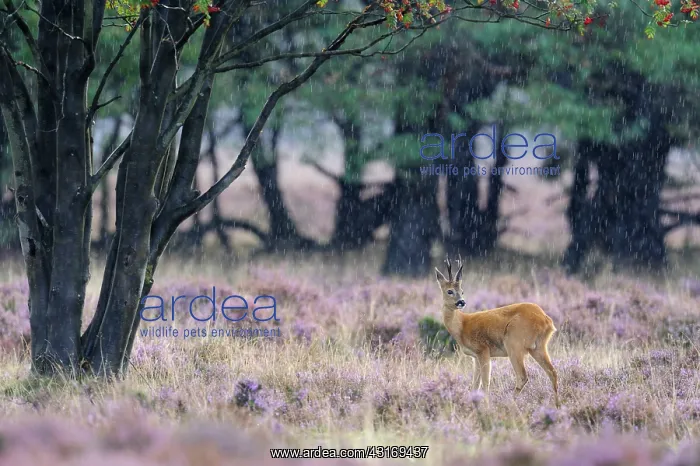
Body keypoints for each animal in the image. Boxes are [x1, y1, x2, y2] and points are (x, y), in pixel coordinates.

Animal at [435, 255, 560, 407]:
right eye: (450, 291)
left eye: (462, 291)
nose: (461, 302)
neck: (463, 325)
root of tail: (546, 320)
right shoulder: (475, 357)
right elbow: (474, 385)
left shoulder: (483, 350)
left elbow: (485, 383)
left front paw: (486, 406)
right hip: (538, 347)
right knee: (552, 372)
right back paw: (558, 405)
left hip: (514, 344)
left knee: (522, 376)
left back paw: (509, 404)